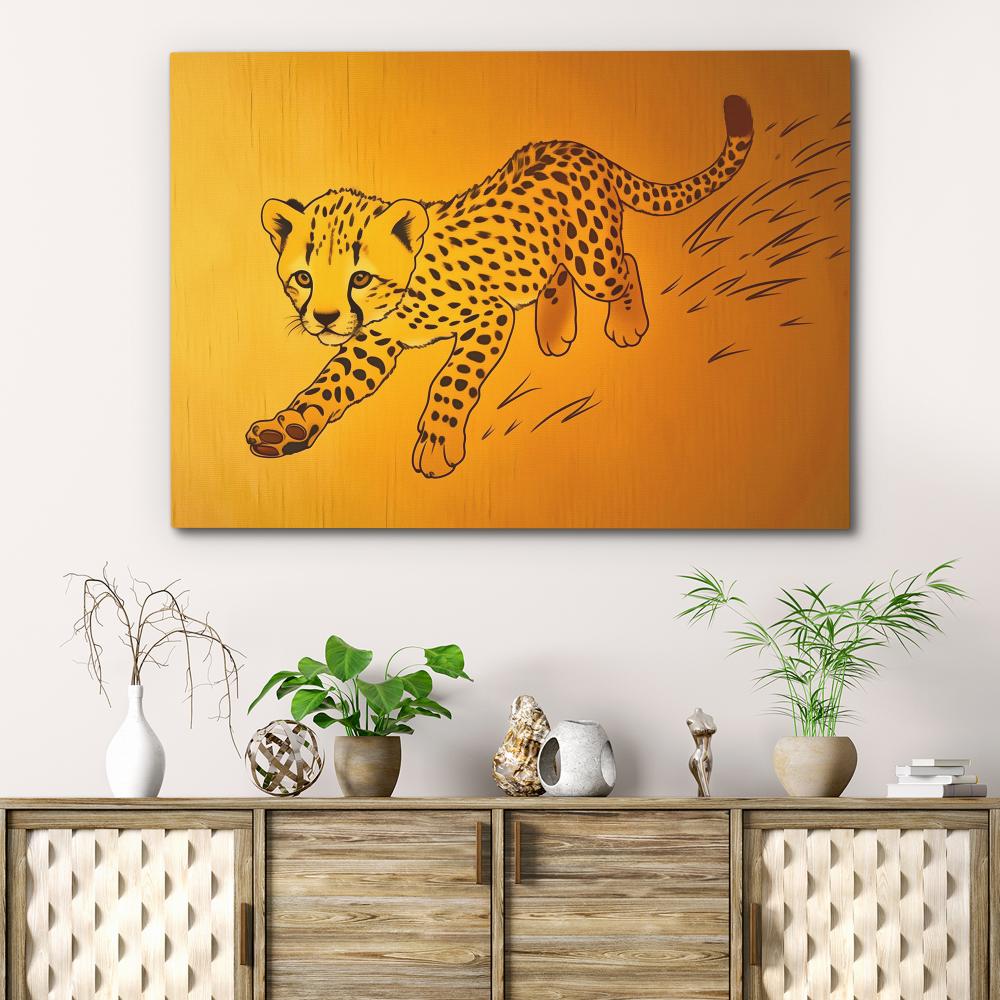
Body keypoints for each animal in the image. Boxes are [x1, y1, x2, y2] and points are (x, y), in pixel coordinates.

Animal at [248, 94, 753, 478]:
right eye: (304, 278)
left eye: (360, 277)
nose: (324, 319)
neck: (401, 292)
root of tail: (581, 147)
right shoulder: (374, 340)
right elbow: (330, 383)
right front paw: (289, 428)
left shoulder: (489, 315)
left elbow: (450, 379)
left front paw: (437, 443)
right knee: (553, 271)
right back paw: (554, 330)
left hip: (595, 261)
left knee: (623, 264)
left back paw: (627, 324)